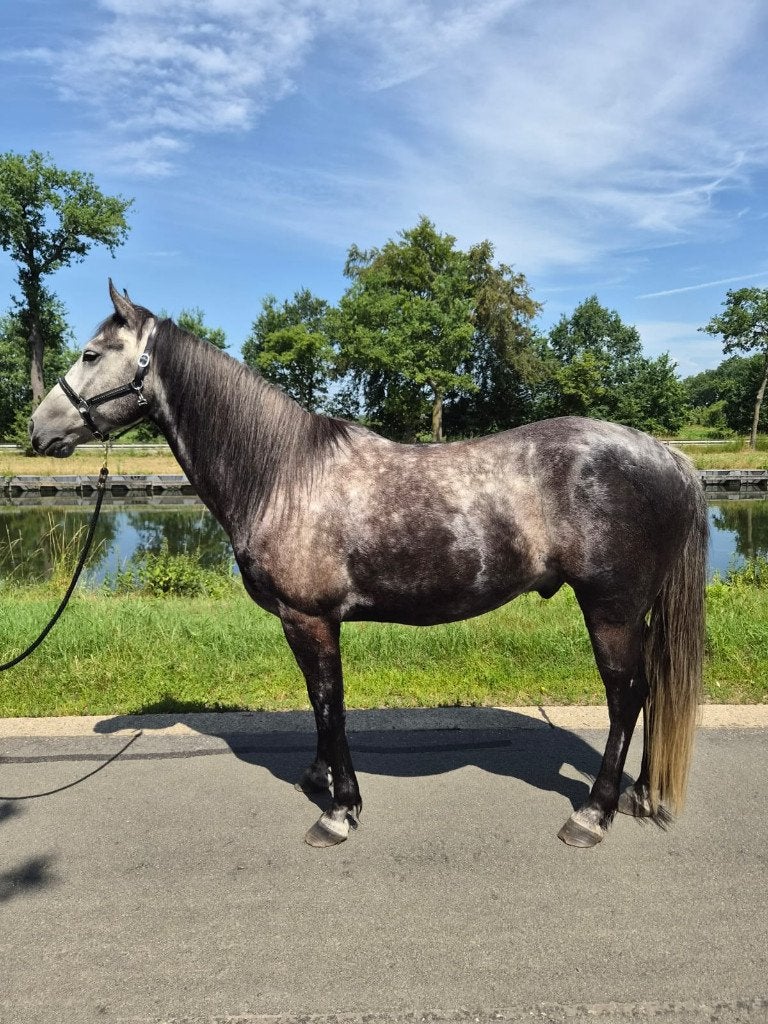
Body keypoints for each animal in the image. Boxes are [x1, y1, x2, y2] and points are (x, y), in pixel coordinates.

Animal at [29, 281, 708, 849]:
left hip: (612, 610)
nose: (37, 429)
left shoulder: (308, 618)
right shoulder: (307, 623)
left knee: (626, 697)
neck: (284, 475)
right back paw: (639, 794)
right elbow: (318, 703)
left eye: (91, 354)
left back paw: (594, 813)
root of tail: (671, 458)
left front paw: (339, 809)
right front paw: (320, 779)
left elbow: (329, 701)